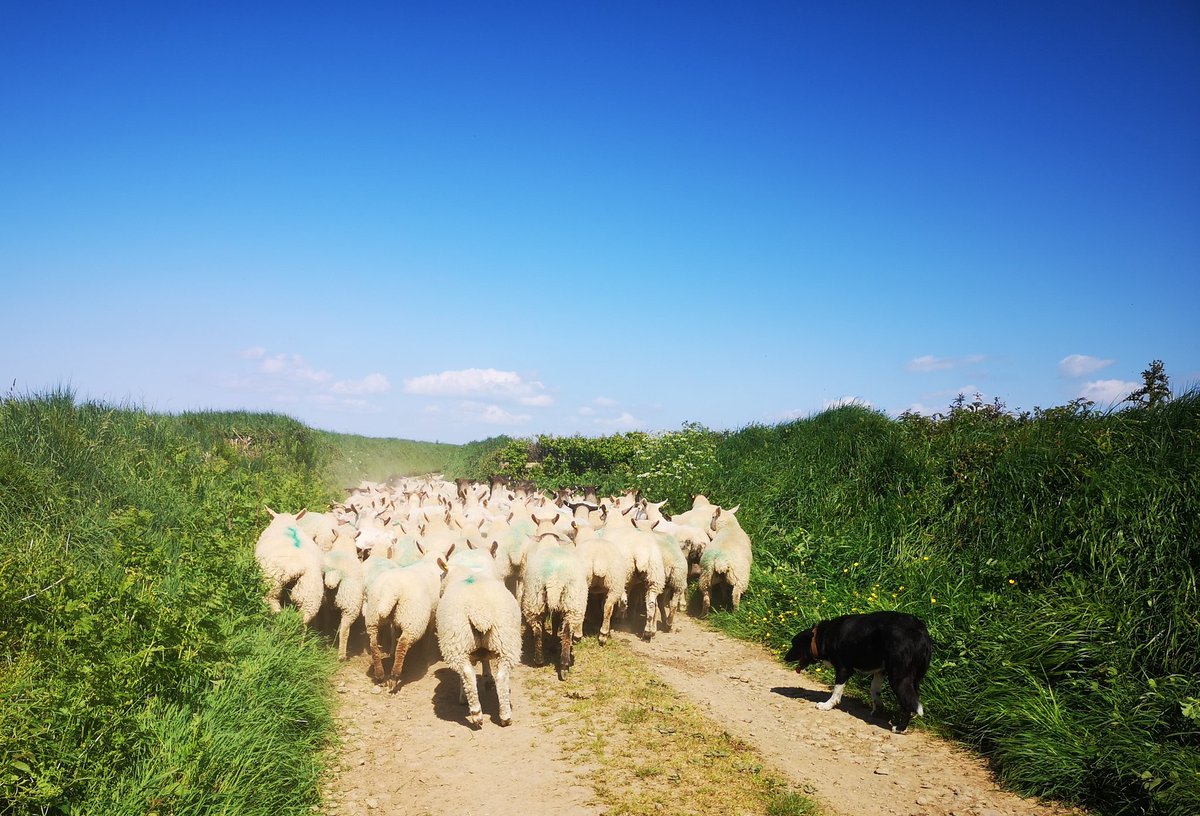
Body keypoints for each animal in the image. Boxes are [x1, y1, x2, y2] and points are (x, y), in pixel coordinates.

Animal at [435, 544, 522, 727]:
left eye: (441, 574)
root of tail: (480, 612)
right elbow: (485, 660)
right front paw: (488, 678)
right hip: (506, 640)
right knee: (502, 676)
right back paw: (505, 716)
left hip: (456, 642)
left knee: (467, 673)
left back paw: (475, 712)